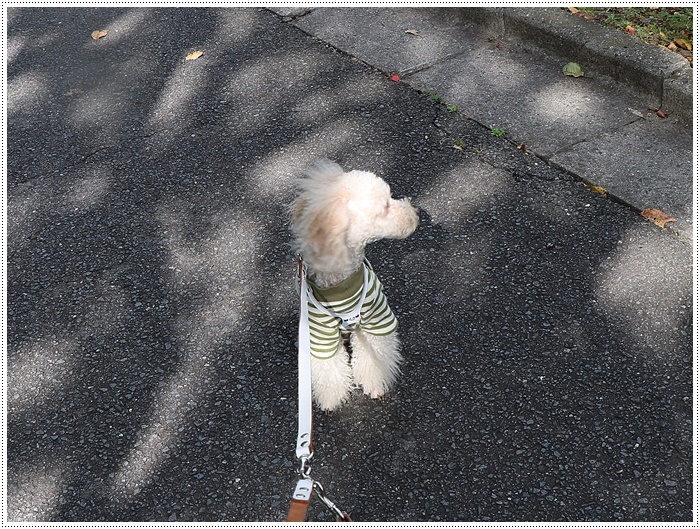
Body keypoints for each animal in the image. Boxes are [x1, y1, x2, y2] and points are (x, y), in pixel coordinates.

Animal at [288, 159, 416, 410]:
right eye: (385, 207)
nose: (415, 216)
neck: (340, 286)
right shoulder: (320, 333)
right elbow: (327, 368)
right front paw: (331, 399)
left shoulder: (377, 318)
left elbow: (375, 354)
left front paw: (375, 384)